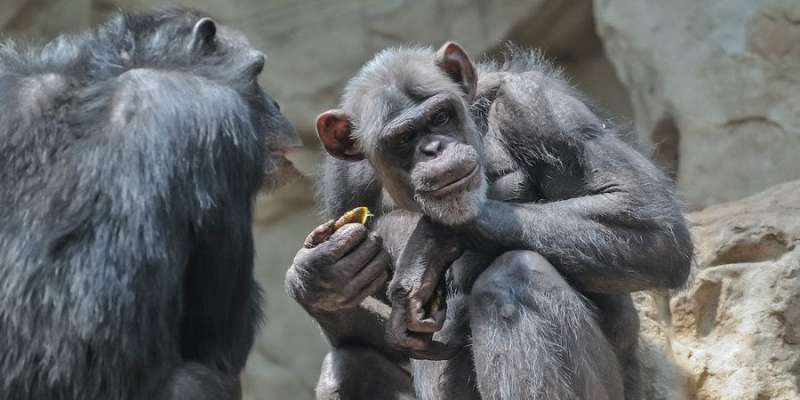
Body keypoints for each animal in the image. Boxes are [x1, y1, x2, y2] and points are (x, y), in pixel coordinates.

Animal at [290, 42, 692, 398]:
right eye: (403, 138)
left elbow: (647, 219)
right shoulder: (342, 182)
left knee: (514, 277)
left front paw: (430, 240)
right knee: (345, 368)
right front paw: (319, 276)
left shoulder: (537, 104)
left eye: (439, 116)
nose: (434, 149)